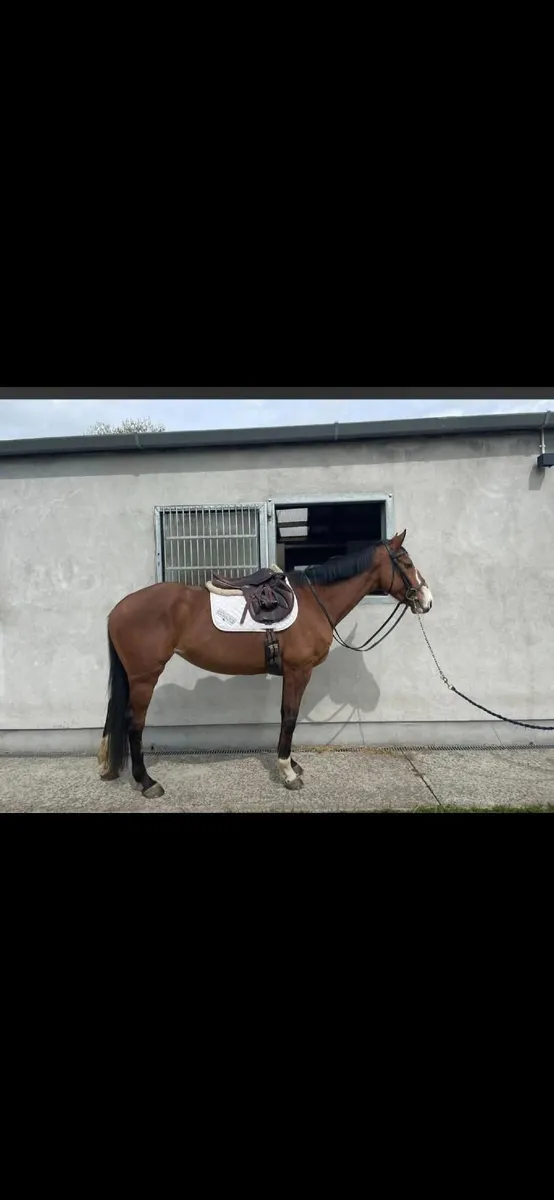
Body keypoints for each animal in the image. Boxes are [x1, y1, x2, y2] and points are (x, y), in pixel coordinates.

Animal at [98, 530, 433, 797]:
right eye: (405, 563)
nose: (426, 601)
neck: (313, 601)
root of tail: (118, 610)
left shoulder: (291, 673)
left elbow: (285, 714)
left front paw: (292, 763)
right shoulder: (299, 671)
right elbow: (290, 716)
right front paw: (288, 772)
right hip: (144, 677)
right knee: (134, 723)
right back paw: (147, 782)